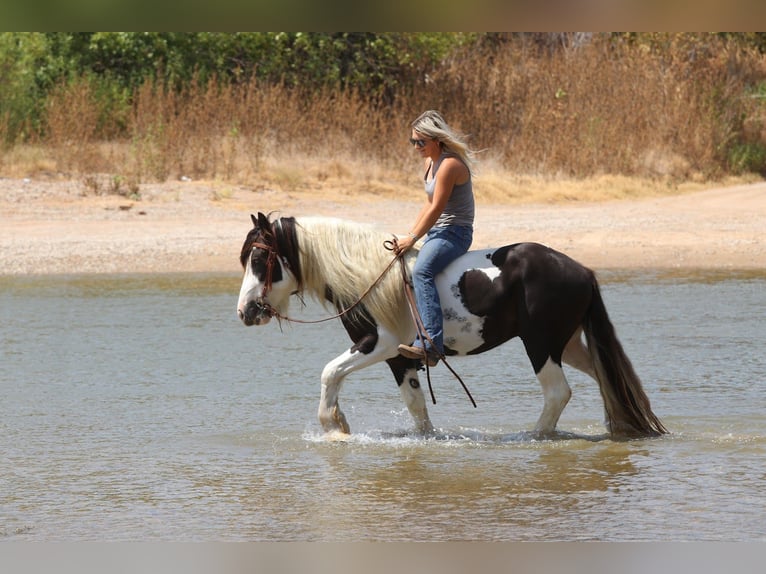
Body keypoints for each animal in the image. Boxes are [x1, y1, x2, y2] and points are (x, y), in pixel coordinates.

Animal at [237, 211, 667, 440]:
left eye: (259, 260)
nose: (245, 312)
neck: (367, 276)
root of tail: (581, 270)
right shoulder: (400, 358)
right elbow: (415, 405)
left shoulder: (379, 343)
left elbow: (330, 372)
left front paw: (335, 425)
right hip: (570, 344)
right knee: (607, 379)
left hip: (541, 345)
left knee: (558, 393)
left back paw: (535, 438)